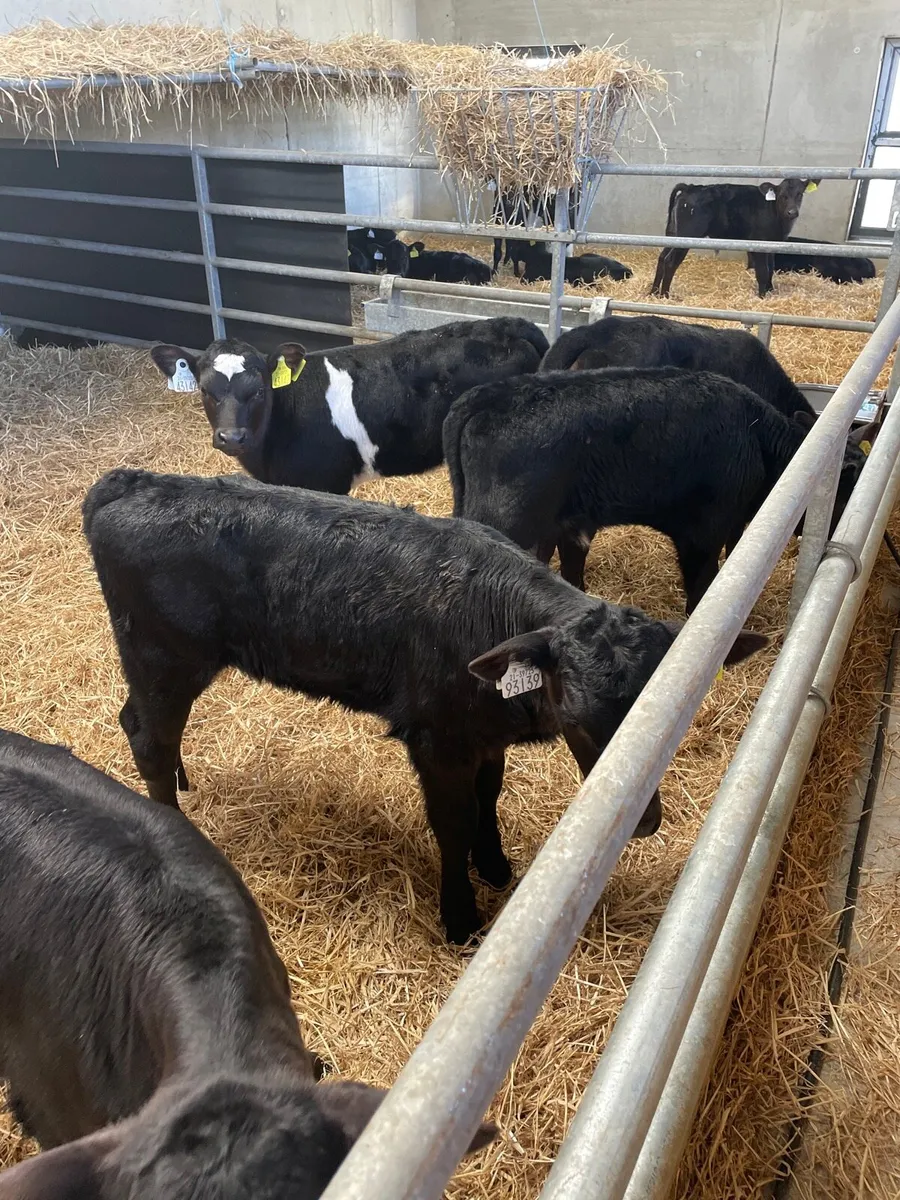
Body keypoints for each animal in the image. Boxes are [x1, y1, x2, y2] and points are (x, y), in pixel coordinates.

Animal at [82, 469, 767, 944]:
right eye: (576, 716)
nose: (642, 822)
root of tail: (130, 482)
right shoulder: (437, 739)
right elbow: (454, 822)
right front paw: (461, 915)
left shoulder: (483, 733)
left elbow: (488, 797)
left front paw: (496, 866)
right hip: (161, 655)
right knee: (145, 734)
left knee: (150, 729)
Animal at [444, 367, 872, 605]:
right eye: (843, 491)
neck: (756, 439)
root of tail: (483, 397)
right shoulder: (701, 531)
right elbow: (702, 586)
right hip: (503, 521)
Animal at [650, 177, 822, 298]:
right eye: (783, 195)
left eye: (800, 194)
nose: (792, 212)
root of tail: (691, 187)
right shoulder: (758, 244)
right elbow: (762, 271)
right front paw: (762, 296)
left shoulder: (772, 244)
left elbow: (771, 268)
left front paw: (770, 290)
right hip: (686, 237)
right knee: (670, 262)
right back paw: (665, 295)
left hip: (673, 234)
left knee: (662, 257)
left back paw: (653, 292)